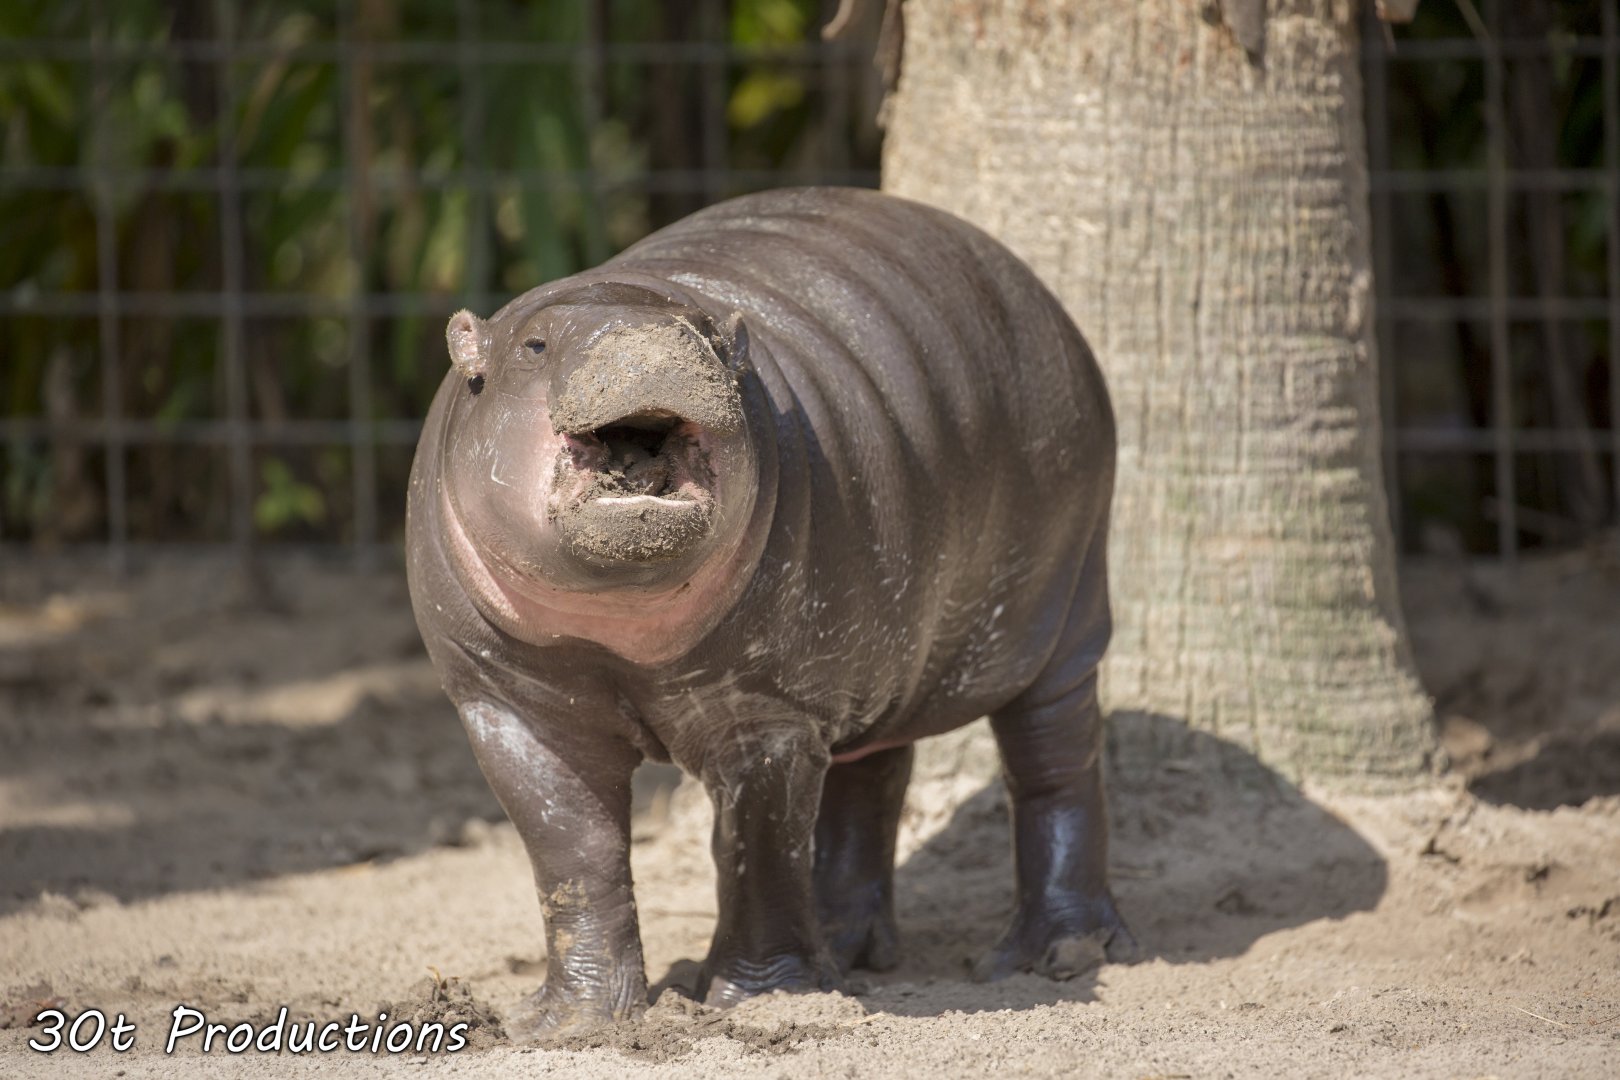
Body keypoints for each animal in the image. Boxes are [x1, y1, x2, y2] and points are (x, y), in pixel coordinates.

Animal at [405, 187, 1132, 1037]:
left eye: (715, 340)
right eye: (535, 344)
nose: (651, 338)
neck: (615, 624)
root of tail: (1043, 299)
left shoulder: (767, 709)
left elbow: (758, 845)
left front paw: (754, 1000)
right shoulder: (510, 706)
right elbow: (572, 851)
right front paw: (569, 1024)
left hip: (1063, 615)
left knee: (1054, 767)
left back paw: (1053, 954)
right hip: (871, 657)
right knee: (869, 781)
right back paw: (848, 952)